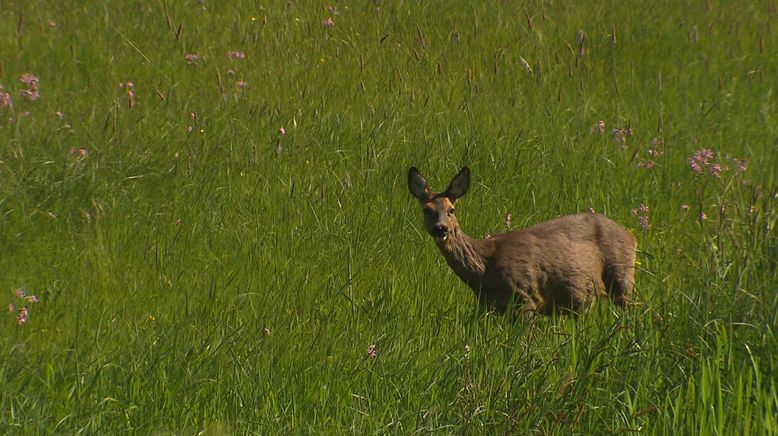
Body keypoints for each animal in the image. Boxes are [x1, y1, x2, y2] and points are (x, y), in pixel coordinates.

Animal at [410, 167, 632, 316]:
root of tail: (631, 234)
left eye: (451, 210)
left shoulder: (527, 296)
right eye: (426, 210)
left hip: (622, 276)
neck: (485, 270)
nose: (441, 228)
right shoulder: (489, 307)